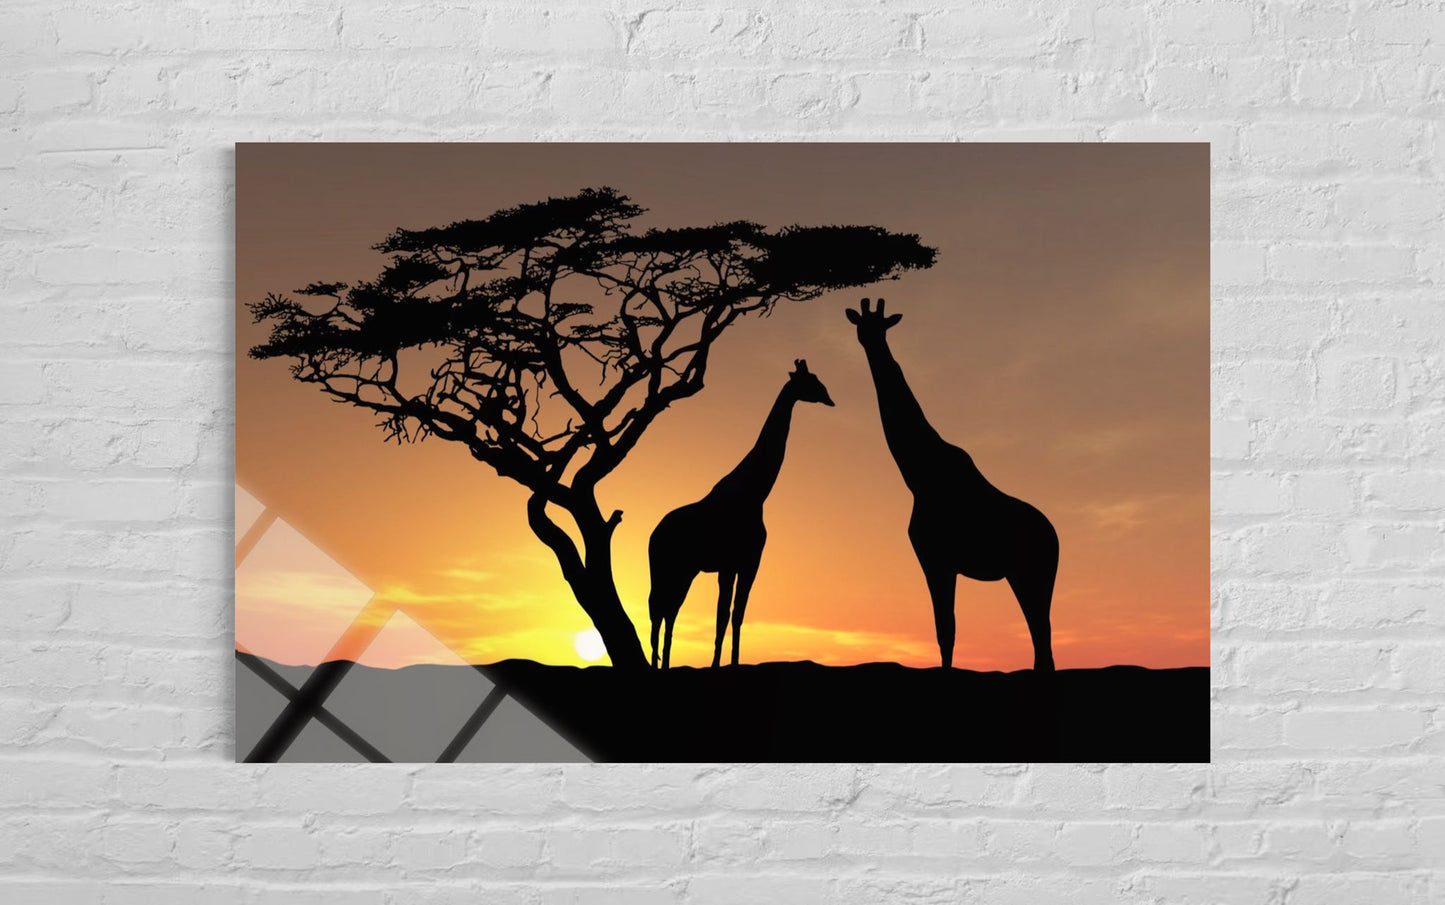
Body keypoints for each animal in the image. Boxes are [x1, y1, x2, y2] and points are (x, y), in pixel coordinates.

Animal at [647, 360, 835, 669]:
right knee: (659, 607)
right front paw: (715, 665)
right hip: (668, 567)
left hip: (684, 571)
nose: (830, 398)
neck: (756, 493)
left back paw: (662, 662)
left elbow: (737, 615)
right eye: (811, 382)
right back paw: (657, 663)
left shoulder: (748, 562)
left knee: (668, 609)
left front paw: (733, 663)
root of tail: (653, 535)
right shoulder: (729, 564)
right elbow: (723, 615)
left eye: (819, 380)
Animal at [846, 298, 1058, 672]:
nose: (870, 342)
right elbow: (945, 631)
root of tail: (1056, 539)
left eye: (882, 326)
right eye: (862, 325)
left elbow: (946, 630)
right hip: (1023, 576)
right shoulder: (937, 559)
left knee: (1042, 638)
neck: (919, 476)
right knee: (1041, 640)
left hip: (1034, 574)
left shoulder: (936, 558)